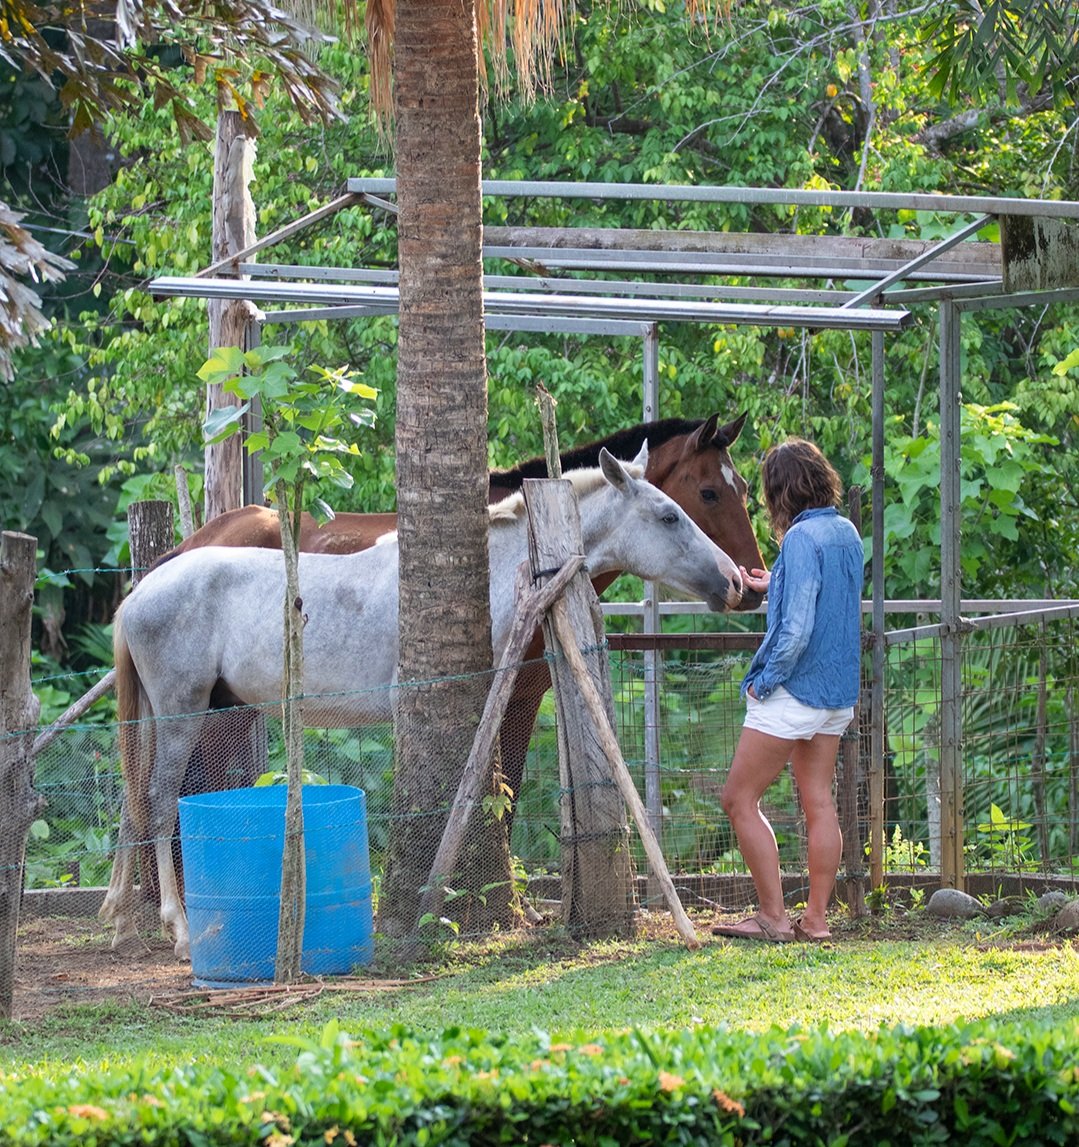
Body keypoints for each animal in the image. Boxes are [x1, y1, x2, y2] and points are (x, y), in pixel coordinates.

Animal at [100, 447, 743, 958]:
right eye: (672, 513)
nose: (735, 580)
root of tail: (138, 594)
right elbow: (486, 792)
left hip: (162, 715)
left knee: (133, 803)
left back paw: (123, 921)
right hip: (182, 713)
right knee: (158, 802)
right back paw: (181, 930)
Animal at [151, 408, 761, 857]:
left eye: (746, 489)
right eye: (706, 494)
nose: (747, 583)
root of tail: (189, 546)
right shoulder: (512, 698)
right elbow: (502, 796)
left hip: (228, 705)